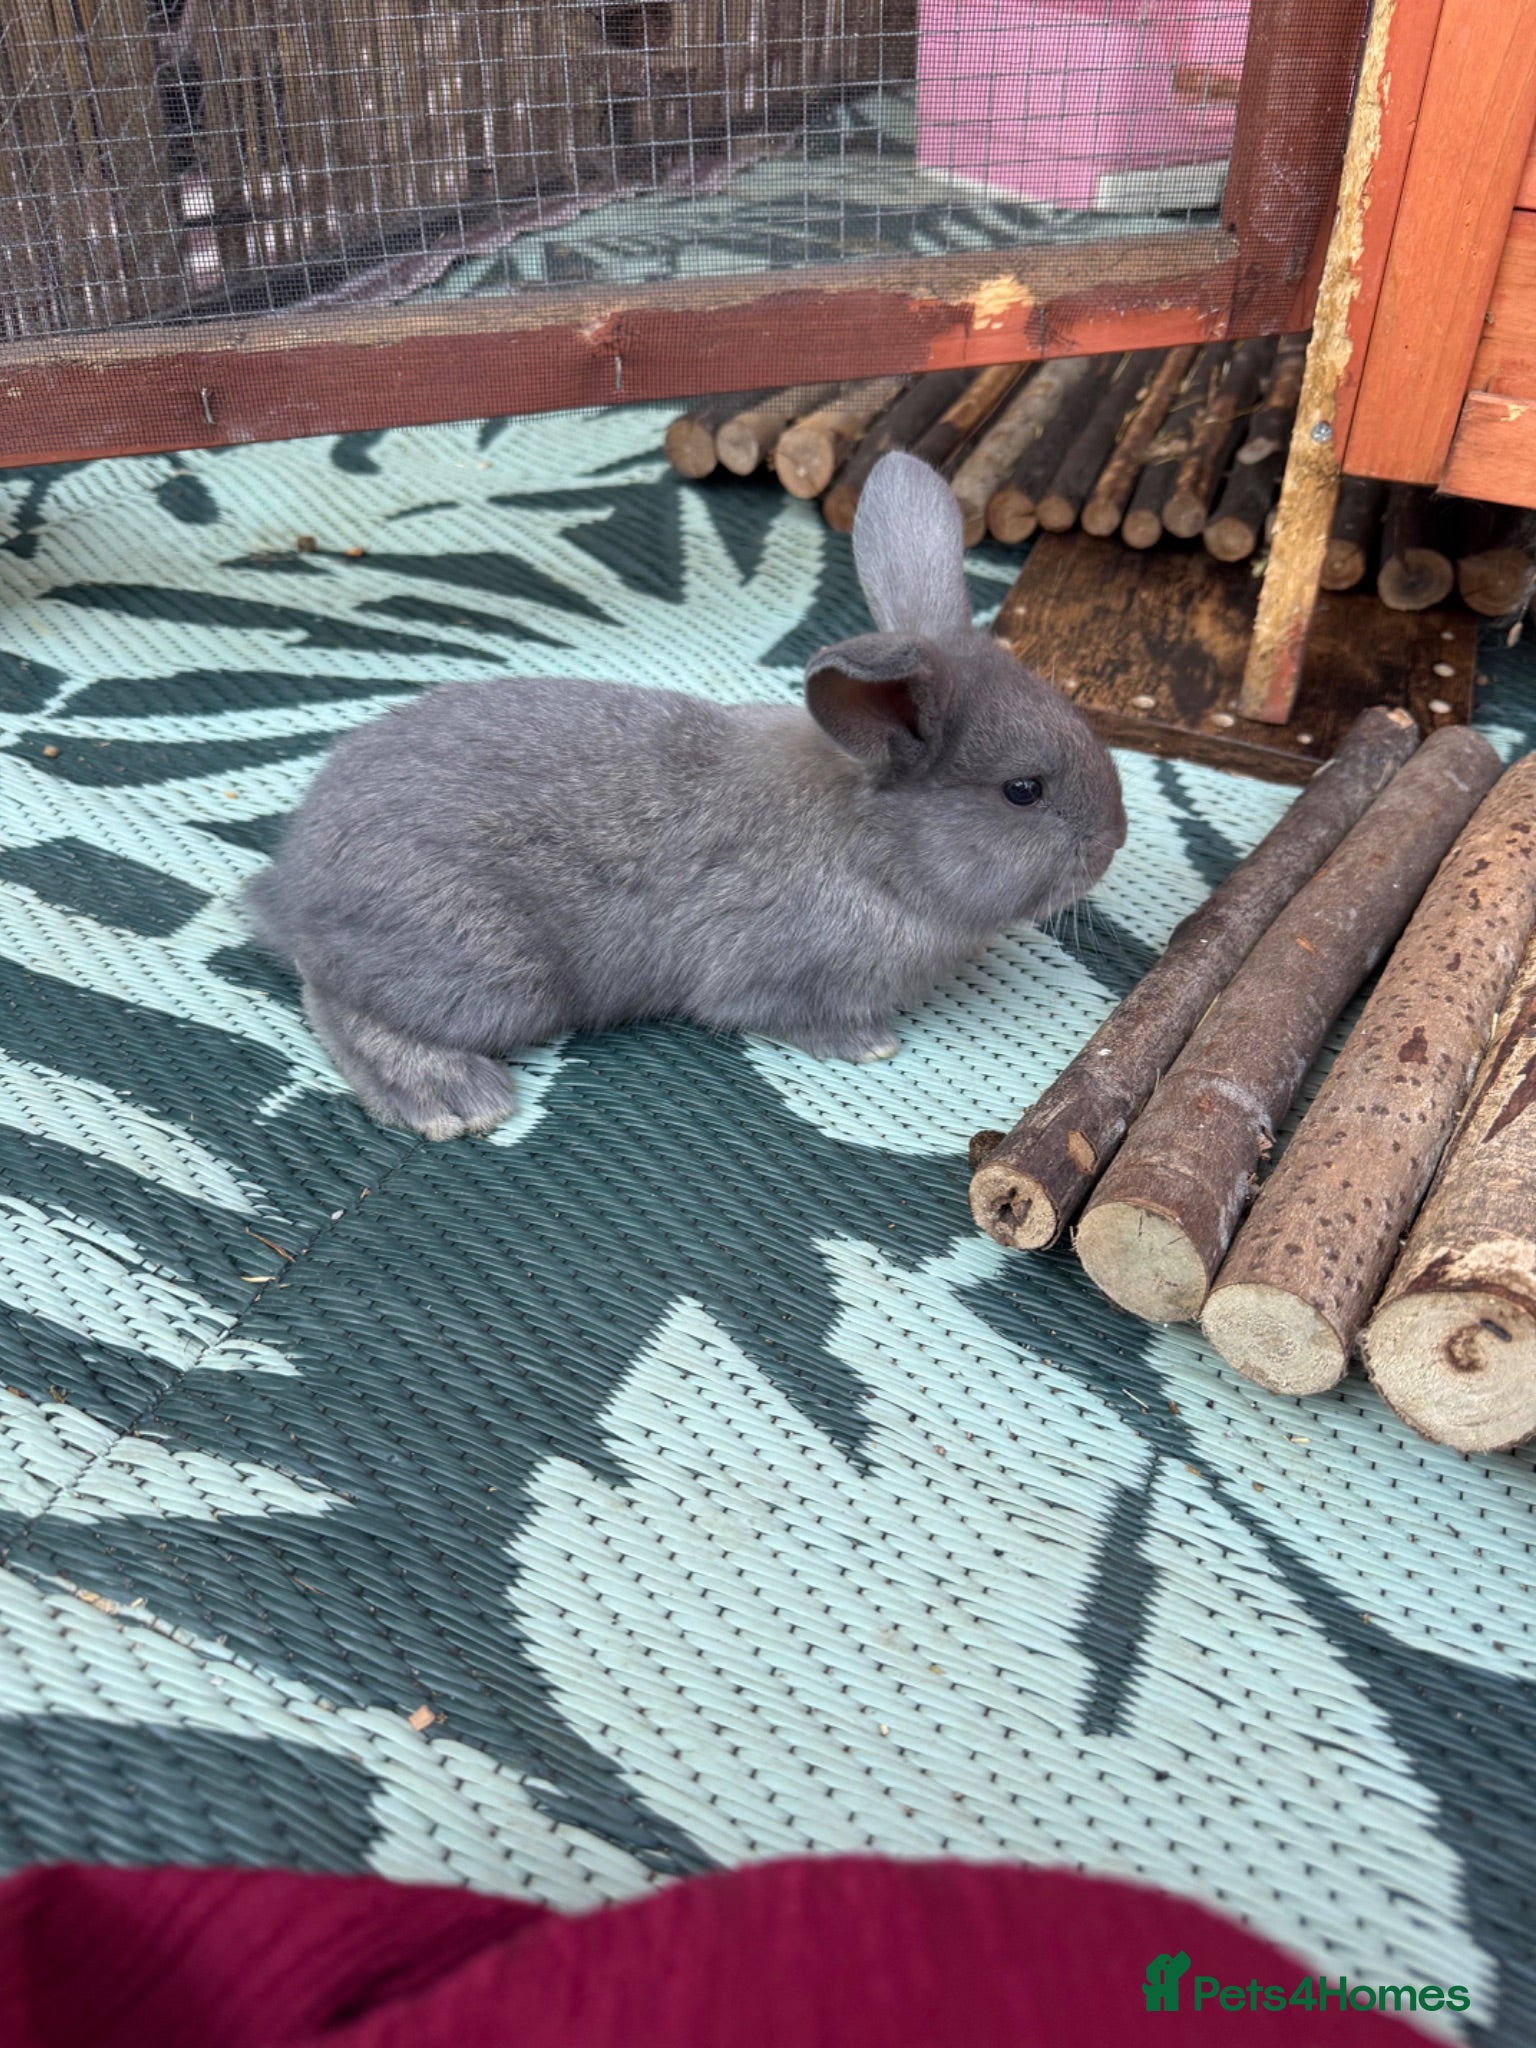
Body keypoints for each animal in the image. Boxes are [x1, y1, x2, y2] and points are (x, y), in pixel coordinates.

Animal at [243, 450, 1126, 1139]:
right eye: (1023, 791)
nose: (1113, 840)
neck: (872, 846)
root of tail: (292, 886)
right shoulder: (772, 977)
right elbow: (787, 1017)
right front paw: (870, 1044)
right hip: (496, 975)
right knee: (336, 1001)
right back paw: (455, 1100)